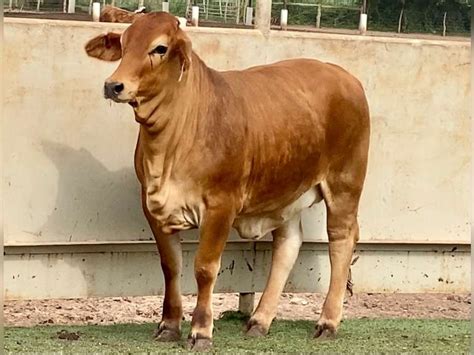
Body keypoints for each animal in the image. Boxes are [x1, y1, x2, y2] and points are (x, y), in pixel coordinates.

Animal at [83, 11, 368, 354]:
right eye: (124, 44)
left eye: (160, 48)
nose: (114, 85)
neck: (170, 142)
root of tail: (344, 76)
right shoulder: (151, 205)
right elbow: (171, 266)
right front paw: (169, 326)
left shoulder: (221, 206)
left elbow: (205, 268)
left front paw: (201, 330)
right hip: (287, 189)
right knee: (288, 245)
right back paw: (259, 320)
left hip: (345, 183)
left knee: (341, 240)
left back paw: (327, 322)